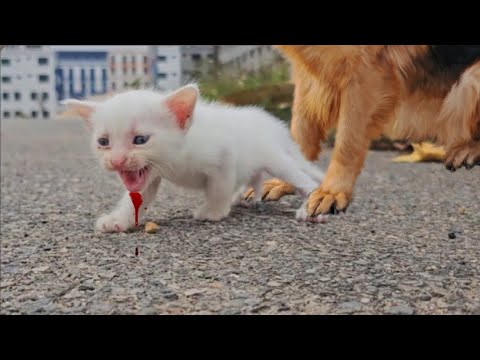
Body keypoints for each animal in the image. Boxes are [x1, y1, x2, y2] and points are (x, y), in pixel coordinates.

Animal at [62, 84, 326, 232]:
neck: (177, 155)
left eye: (140, 139)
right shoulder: (149, 175)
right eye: (103, 142)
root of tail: (272, 123)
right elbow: (136, 198)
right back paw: (243, 197)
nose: (116, 161)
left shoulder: (225, 153)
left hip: (276, 159)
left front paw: (214, 212)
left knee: (305, 181)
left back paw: (310, 209)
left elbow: (218, 188)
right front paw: (119, 220)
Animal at [249, 46, 478, 218]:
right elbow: (300, 134)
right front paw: (283, 180)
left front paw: (331, 191)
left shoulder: (364, 75)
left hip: (469, 81)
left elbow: (347, 144)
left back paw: (467, 151)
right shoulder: (308, 76)